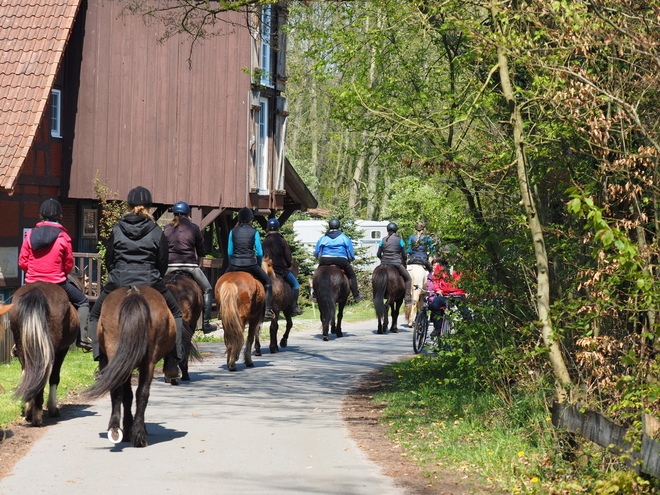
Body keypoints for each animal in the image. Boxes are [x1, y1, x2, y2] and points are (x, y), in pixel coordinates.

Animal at [7, 282, 78, 426]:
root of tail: (36, 290)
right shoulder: (62, 350)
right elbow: (54, 377)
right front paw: (52, 409)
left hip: (23, 347)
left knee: (30, 373)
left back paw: (30, 412)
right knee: (43, 375)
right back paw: (37, 415)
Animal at [86, 282, 177, 450]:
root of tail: (134, 292)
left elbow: (126, 395)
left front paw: (128, 428)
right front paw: (130, 428)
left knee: (124, 391)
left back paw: (118, 430)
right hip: (147, 361)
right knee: (141, 392)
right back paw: (137, 433)